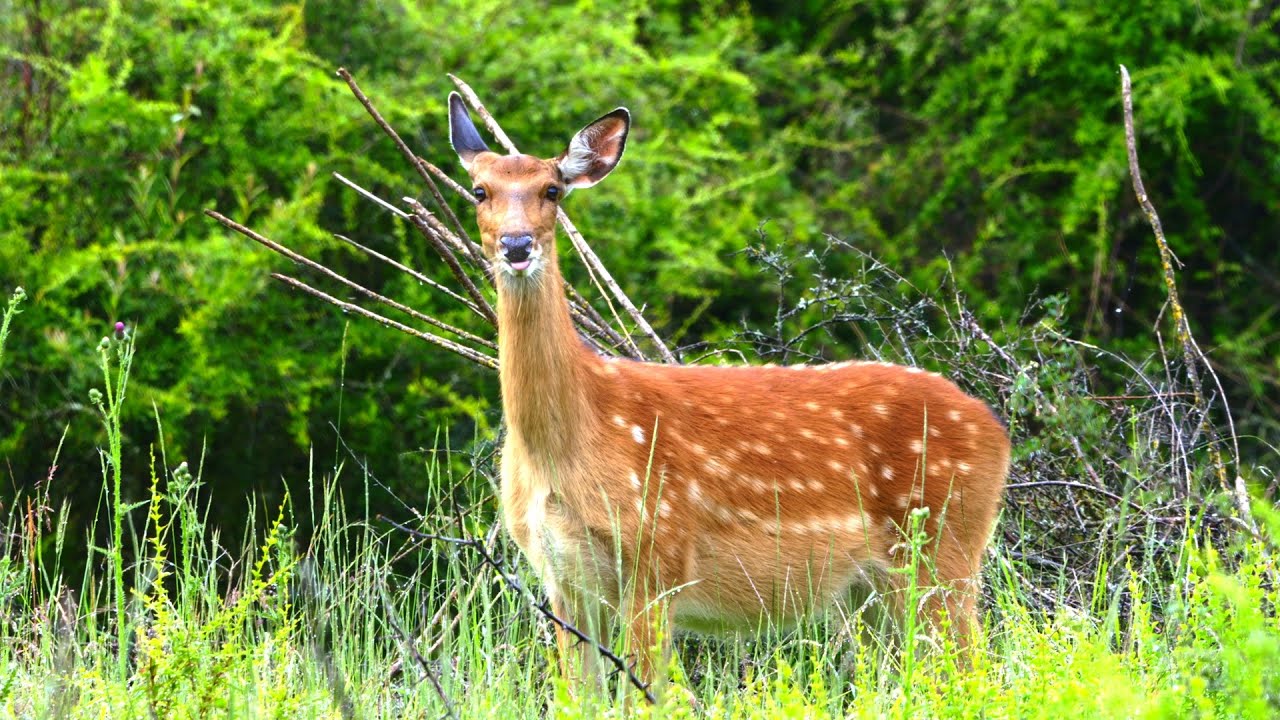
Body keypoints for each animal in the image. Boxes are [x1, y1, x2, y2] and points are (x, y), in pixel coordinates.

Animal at [446, 93, 1011, 696]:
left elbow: (647, 697)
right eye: (479, 190)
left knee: (977, 669)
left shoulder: (658, 557)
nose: (517, 244)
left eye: (552, 190)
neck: (568, 445)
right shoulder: (562, 580)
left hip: (943, 548)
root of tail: (998, 433)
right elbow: (580, 699)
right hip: (873, 589)